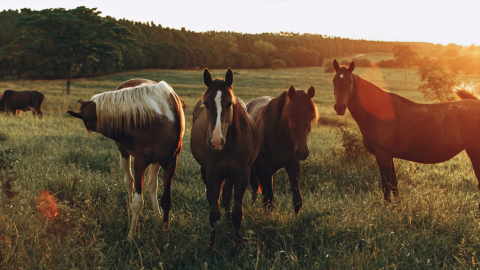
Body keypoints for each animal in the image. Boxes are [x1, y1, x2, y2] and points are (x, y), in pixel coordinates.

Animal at [67, 79, 186, 239]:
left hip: (155, 161)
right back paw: (130, 211)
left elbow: (166, 199)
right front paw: (131, 234)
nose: (127, 143)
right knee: (129, 182)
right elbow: (137, 201)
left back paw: (156, 213)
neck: (159, 118)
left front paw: (165, 231)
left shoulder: (170, 162)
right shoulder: (140, 162)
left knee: (152, 184)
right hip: (125, 155)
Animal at [190, 68, 258, 251]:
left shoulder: (242, 175)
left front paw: (236, 246)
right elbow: (214, 213)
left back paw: (228, 225)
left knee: (227, 196)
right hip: (206, 171)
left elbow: (237, 213)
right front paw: (211, 248)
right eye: (206, 104)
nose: (216, 141)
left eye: (229, 103)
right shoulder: (213, 174)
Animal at [248, 85, 318, 214]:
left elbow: (297, 200)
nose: (302, 152)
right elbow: (270, 201)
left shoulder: (293, 166)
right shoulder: (267, 167)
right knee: (255, 188)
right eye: (290, 115)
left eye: (311, 117)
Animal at [334, 59, 480, 202]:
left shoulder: (382, 154)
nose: (339, 108)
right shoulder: (389, 155)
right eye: (334, 81)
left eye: (350, 82)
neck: (379, 110)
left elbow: (386, 186)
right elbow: (394, 185)